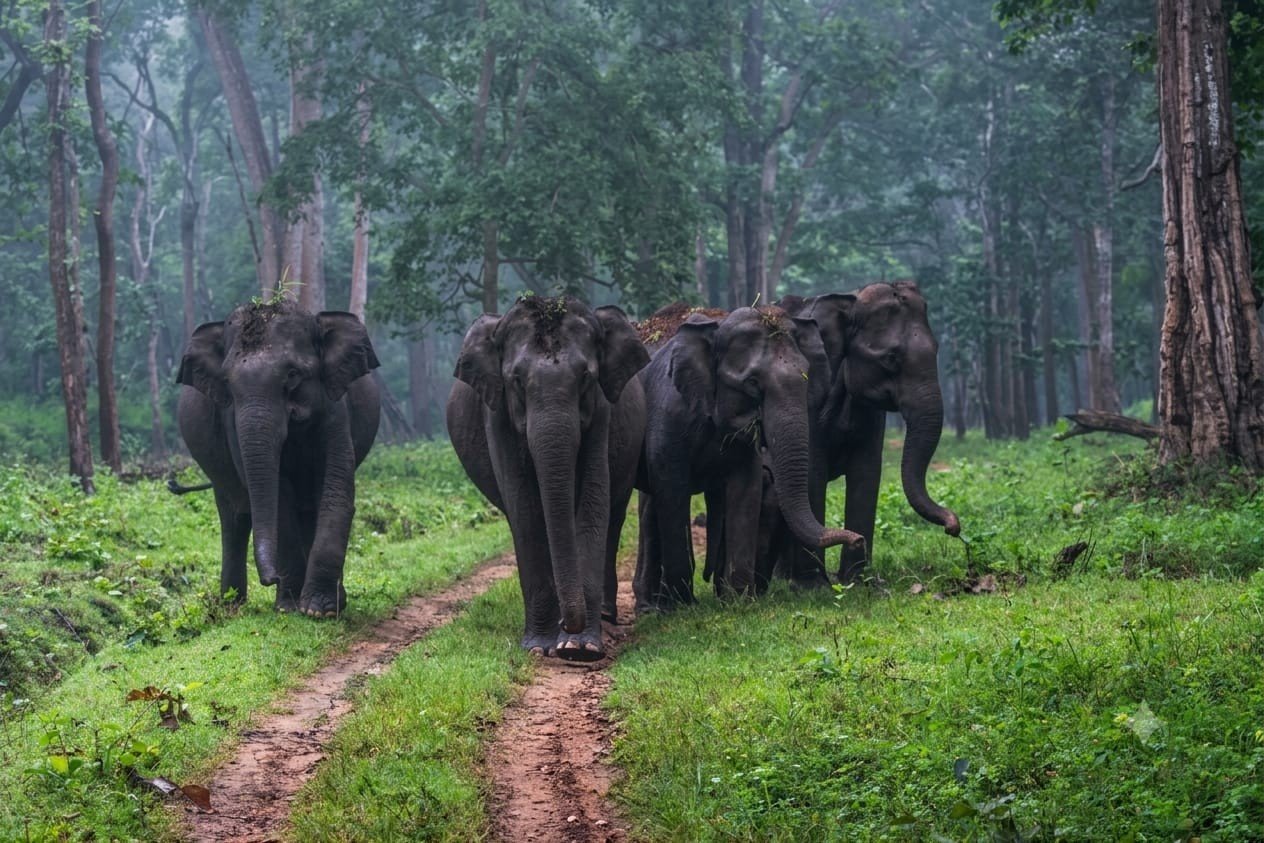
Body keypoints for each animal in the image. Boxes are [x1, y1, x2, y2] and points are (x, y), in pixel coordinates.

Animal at [175, 299, 381, 617]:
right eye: (227, 382)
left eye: (293, 374)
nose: (270, 579)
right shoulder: (231, 421)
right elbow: (280, 501)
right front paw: (289, 606)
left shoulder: (336, 405)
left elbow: (335, 489)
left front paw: (319, 609)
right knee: (236, 517)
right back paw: (231, 606)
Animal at [446, 296, 649, 661]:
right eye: (515, 380)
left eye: (585, 377)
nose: (566, 624)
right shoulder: (496, 415)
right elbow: (524, 509)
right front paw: (539, 647)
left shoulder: (601, 411)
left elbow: (593, 500)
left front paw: (579, 648)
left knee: (613, 518)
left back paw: (604, 616)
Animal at [633, 305, 863, 614]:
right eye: (752, 383)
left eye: (806, 375)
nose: (858, 539)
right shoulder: (668, 418)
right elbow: (672, 491)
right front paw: (682, 607)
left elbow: (746, 490)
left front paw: (740, 602)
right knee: (651, 508)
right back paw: (651, 607)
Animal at [771, 281, 961, 583]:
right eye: (891, 358)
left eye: (937, 349)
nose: (953, 527)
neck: (850, 300)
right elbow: (812, 472)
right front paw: (814, 584)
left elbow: (867, 472)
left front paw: (858, 580)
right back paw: (784, 578)